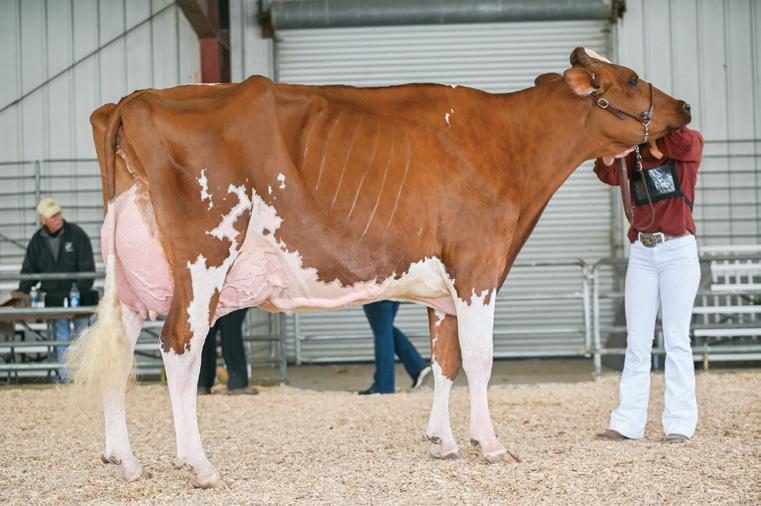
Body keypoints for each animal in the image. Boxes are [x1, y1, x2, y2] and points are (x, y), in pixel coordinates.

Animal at [68, 47, 691, 488]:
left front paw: (443, 442)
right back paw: (199, 466)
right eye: (631, 79)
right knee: (178, 346)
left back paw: (124, 460)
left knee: (120, 347)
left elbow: (445, 360)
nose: (684, 106)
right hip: (204, 260)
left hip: (133, 272)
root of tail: (134, 99)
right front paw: (491, 446)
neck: (508, 145)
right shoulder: (478, 268)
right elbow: (481, 360)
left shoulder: (445, 289)